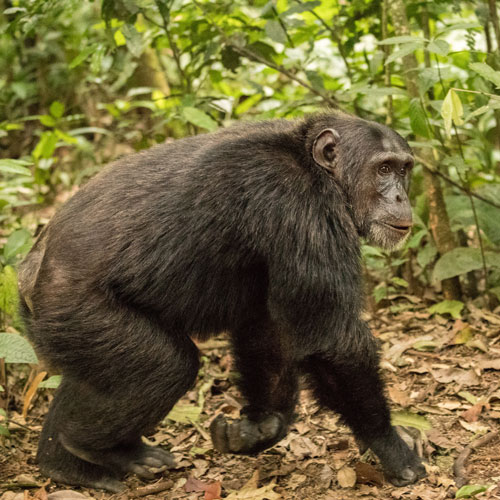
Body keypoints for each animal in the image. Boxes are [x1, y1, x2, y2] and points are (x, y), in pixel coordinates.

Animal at [18, 113, 426, 492]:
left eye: (404, 169)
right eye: (383, 168)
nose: (400, 196)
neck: (317, 170)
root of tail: (26, 273)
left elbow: (267, 327)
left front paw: (260, 427)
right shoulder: (298, 208)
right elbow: (333, 342)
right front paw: (393, 449)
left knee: (92, 378)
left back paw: (66, 465)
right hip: (79, 312)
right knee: (165, 366)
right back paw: (103, 449)